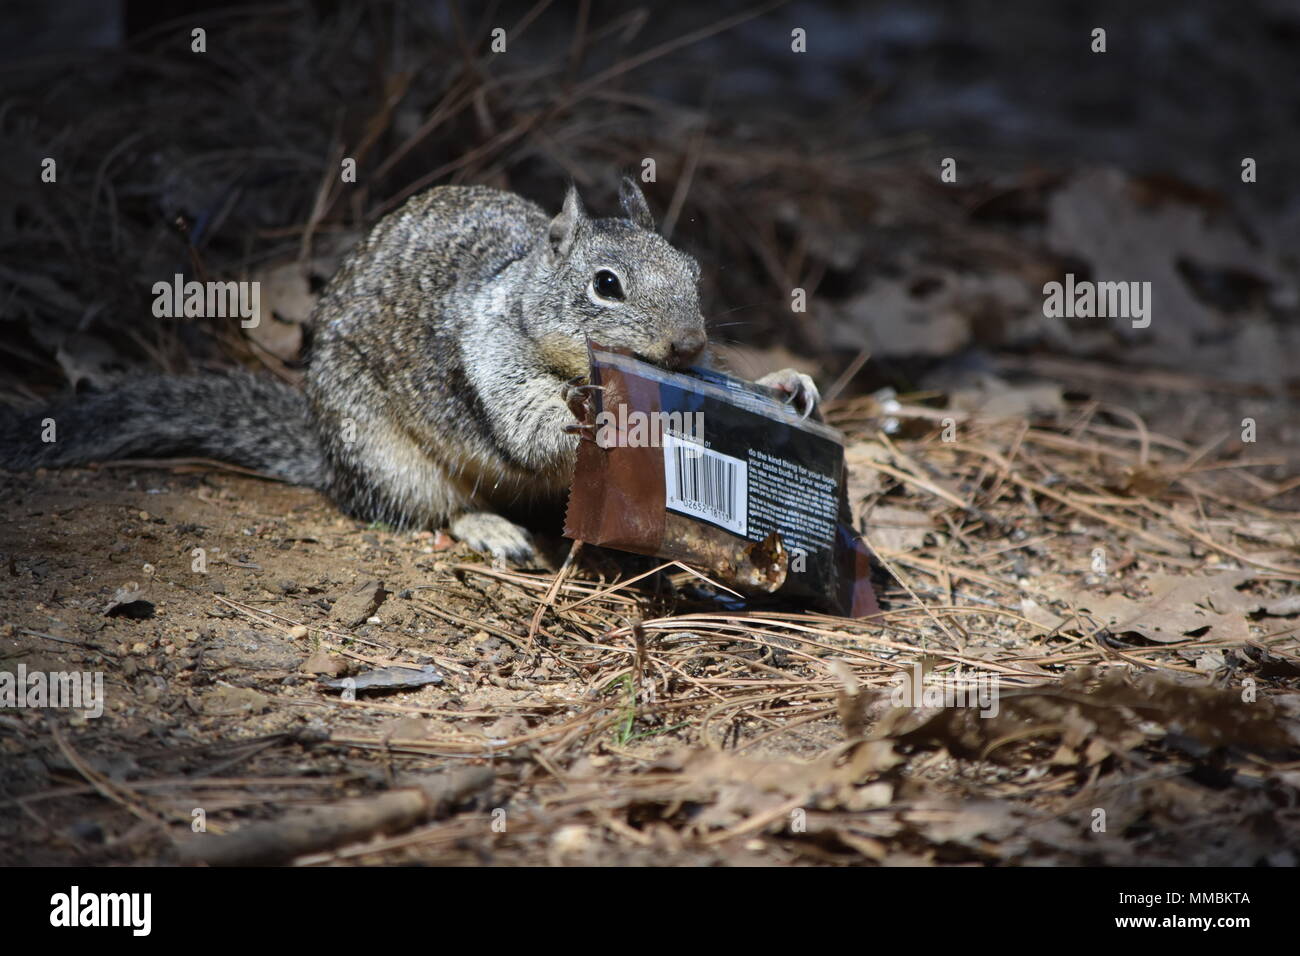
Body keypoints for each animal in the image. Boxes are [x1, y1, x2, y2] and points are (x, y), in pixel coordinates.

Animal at [0, 178, 811, 561]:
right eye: (605, 285)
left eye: (693, 272)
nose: (688, 348)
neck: (518, 298)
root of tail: (326, 457)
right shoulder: (487, 358)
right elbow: (524, 425)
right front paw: (580, 409)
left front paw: (784, 386)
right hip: (387, 459)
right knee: (424, 511)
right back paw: (489, 527)